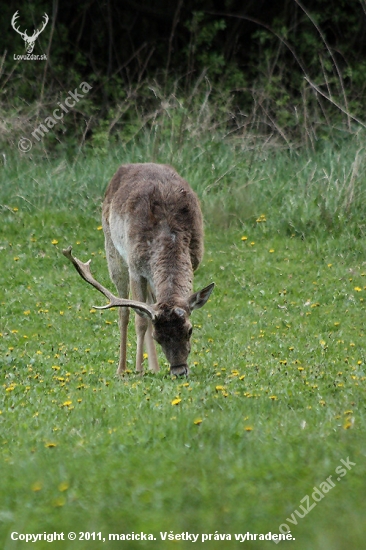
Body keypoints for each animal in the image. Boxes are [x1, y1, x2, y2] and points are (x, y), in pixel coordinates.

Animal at [61, 162, 213, 378]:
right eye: (158, 337)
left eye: (190, 330)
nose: (179, 370)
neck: (169, 233)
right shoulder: (135, 268)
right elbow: (140, 321)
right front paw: (139, 369)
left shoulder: (194, 260)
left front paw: (149, 367)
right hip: (112, 249)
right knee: (124, 311)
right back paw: (122, 368)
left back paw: (154, 366)